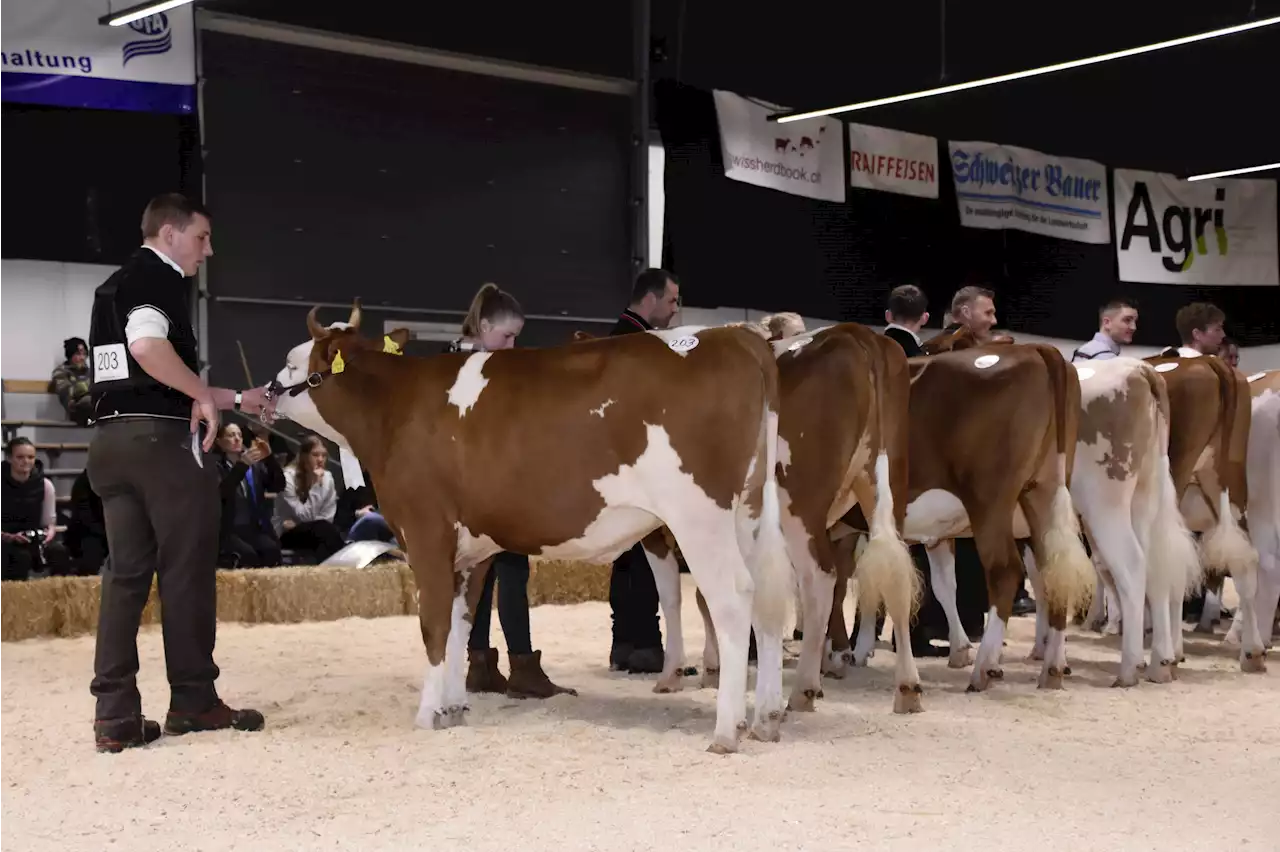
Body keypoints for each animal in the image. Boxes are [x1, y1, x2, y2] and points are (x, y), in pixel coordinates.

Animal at [270, 303, 793, 752]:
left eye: (293, 362)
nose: (267, 393)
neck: (395, 409)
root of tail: (737, 336)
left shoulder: (425, 530)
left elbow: (434, 625)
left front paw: (425, 714)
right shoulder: (471, 549)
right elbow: (462, 623)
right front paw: (453, 707)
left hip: (699, 516)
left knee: (733, 600)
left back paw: (726, 730)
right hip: (750, 512)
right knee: (768, 598)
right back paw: (766, 718)